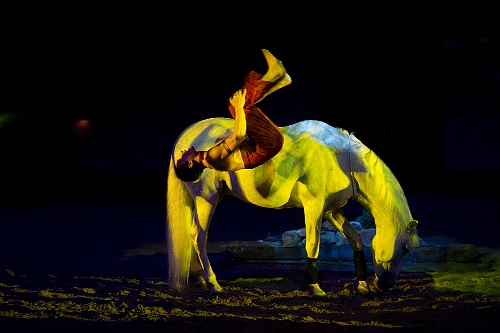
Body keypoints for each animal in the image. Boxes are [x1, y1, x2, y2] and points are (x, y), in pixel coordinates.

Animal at [166, 118, 420, 294]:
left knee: (193, 236)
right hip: (207, 198)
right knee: (198, 236)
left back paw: (201, 279)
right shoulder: (314, 207)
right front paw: (315, 289)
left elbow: (355, 239)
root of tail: (185, 139)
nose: (383, 286)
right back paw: (213, 284)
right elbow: (313, 245)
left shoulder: (331, 209)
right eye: (406, 249)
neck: (342, 157)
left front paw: (361, 285)